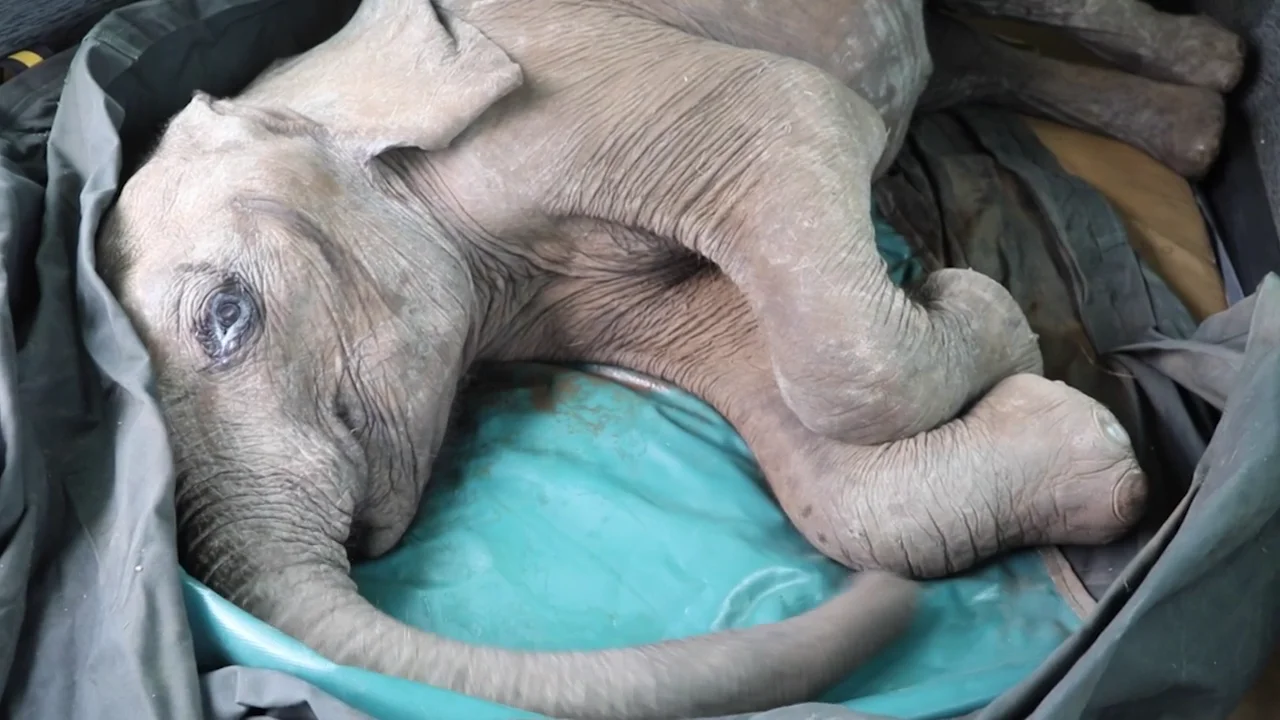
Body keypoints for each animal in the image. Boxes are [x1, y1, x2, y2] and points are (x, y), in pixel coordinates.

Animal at [94, 0, 1244, 718]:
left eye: (228, 316)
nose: (892, 615)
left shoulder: (574, 86)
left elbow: (793, 120)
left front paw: (979, 309)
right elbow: (781, 412)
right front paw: (1067, 424)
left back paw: (1217, 67)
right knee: (956, 60)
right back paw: (1198, 124)